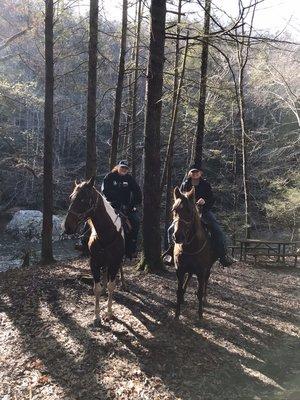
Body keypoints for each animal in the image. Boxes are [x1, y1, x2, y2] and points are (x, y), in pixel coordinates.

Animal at [63, 178, 125, 322]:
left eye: (83, 199)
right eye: (71, 197)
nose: (67, 226)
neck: (106, 234)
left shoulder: (114, 263)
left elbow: (112, 286)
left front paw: (109, 313)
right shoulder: (94, 262)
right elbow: (96, 288)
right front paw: (96, 316)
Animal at [171, 186, 218, 320]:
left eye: (190, 211)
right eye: (174, 210)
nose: (178, 236)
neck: (190, 247)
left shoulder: (201, 271)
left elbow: (200, 291)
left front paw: (200, 315)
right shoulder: (180, 269)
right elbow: (179, 290)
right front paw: (177, 314)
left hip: (208, 267)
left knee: (206, 279)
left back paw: (205, 299)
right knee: (189, 277)